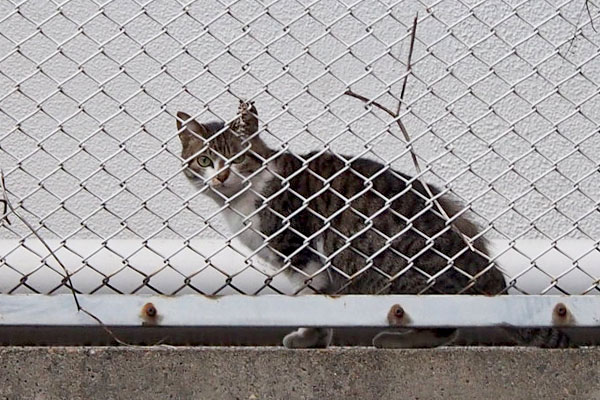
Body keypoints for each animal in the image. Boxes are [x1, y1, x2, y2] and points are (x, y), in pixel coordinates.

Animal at [175, 101, 572, 348]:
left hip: (405, 277)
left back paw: (393, 340)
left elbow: (312, 303)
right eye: (206, 160)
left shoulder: (301, 254)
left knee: (442, 323)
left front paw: (307, 339)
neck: (243, 200)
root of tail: (489, 276)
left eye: (238, 159)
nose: (222, 176)